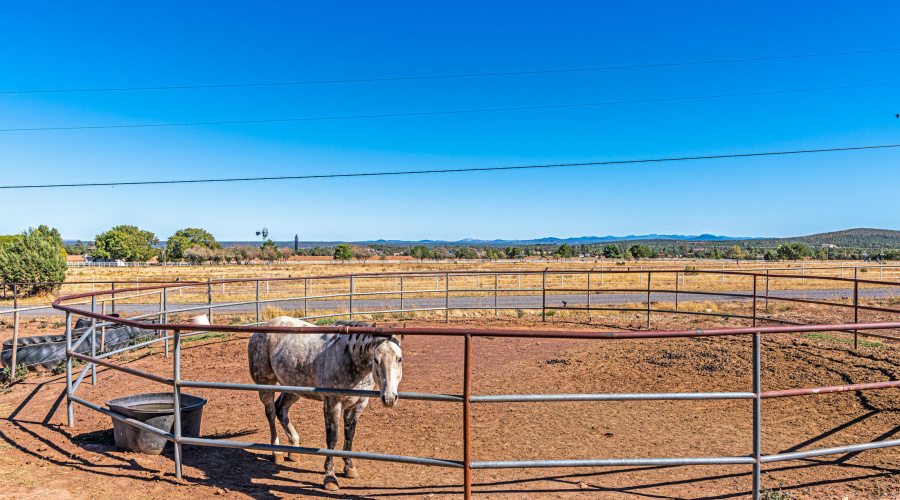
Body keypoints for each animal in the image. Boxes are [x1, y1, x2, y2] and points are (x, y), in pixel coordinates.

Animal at [246, 318, 400, 490]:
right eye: (376, 359)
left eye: (399, 359)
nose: (389, 398)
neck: (350, 359)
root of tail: (259, 331)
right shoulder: (333, 403)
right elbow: (332, 437)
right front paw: (330, 477)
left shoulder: (358, 405)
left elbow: (349, 435)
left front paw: (350, 468)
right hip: (266, 384)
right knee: (271, 412)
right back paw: (277, 452)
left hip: (293, 387)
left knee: (281, 409)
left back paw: (293, 449)